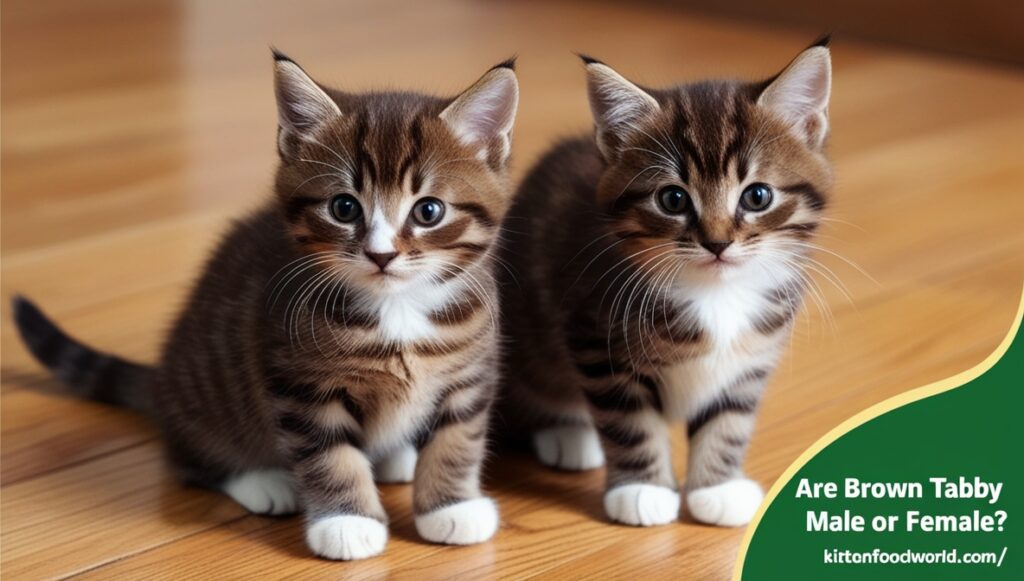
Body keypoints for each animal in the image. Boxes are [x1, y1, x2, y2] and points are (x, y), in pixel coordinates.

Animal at [12, 52, 516, 561]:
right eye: (344, 208)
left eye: (429, 211)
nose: (381, 254)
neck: (397, 309)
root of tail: (162, 380)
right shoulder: (301, 383)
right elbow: (329, 455)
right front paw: (347, 521)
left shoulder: (470, 374)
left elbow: (458, 438)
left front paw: (451, 506)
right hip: (208, 394)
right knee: (190, 457)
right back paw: (262, 481)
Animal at [501, 39, 831, 528]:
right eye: (673, 199)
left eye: (757, 196)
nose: (717, 243)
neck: (715, 294)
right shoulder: (596, 341)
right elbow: (631, 423)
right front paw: (643, 489)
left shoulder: (753, 356)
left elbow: (729, 420)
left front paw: (716, 487)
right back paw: (565, 432)